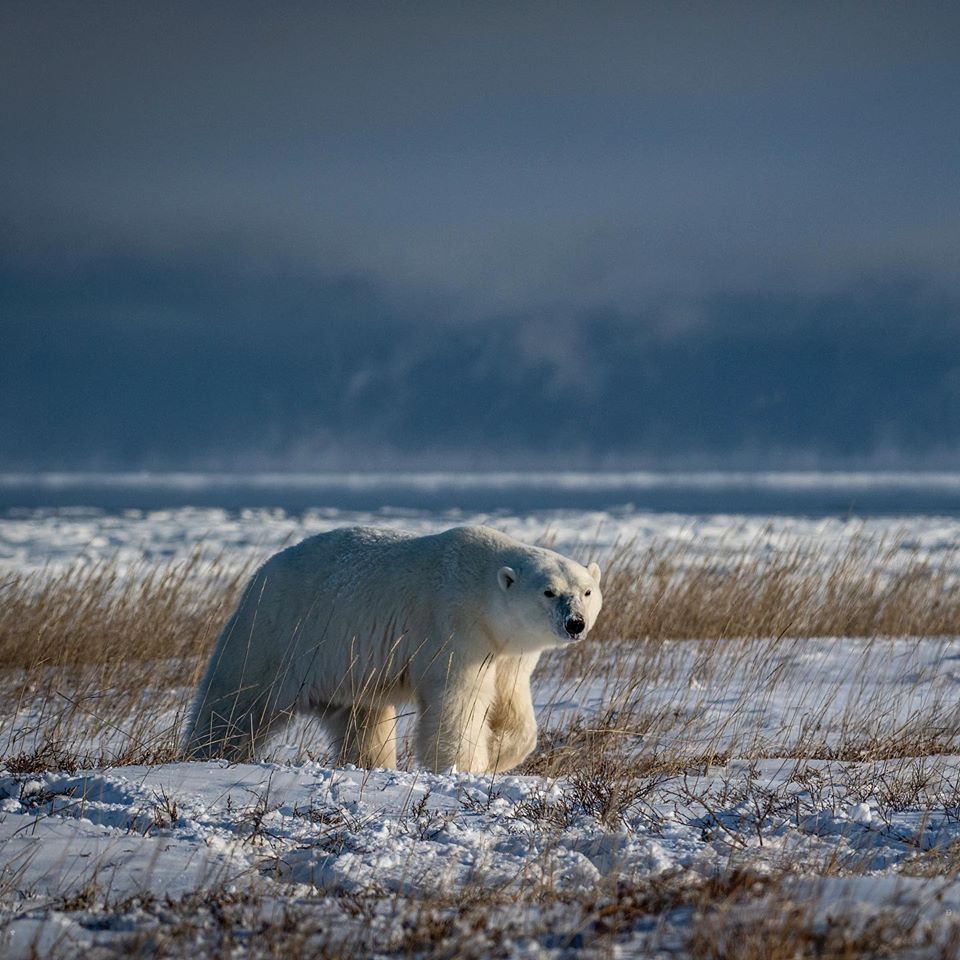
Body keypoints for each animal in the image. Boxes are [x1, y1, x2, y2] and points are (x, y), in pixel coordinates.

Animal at [185, 525, 602, 773]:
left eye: (586, 591)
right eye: (548, 591)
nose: (575, 624)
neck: (483, 593)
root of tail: (258, 576)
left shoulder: (508, 653)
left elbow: (513, 706)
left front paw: (498, 749)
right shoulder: (453, 628)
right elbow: (459, 704)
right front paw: (464, 766)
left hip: (345, 666)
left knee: (363, 719)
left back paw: (372, 764)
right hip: (278, 634)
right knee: (238, 700)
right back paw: (206, 754)